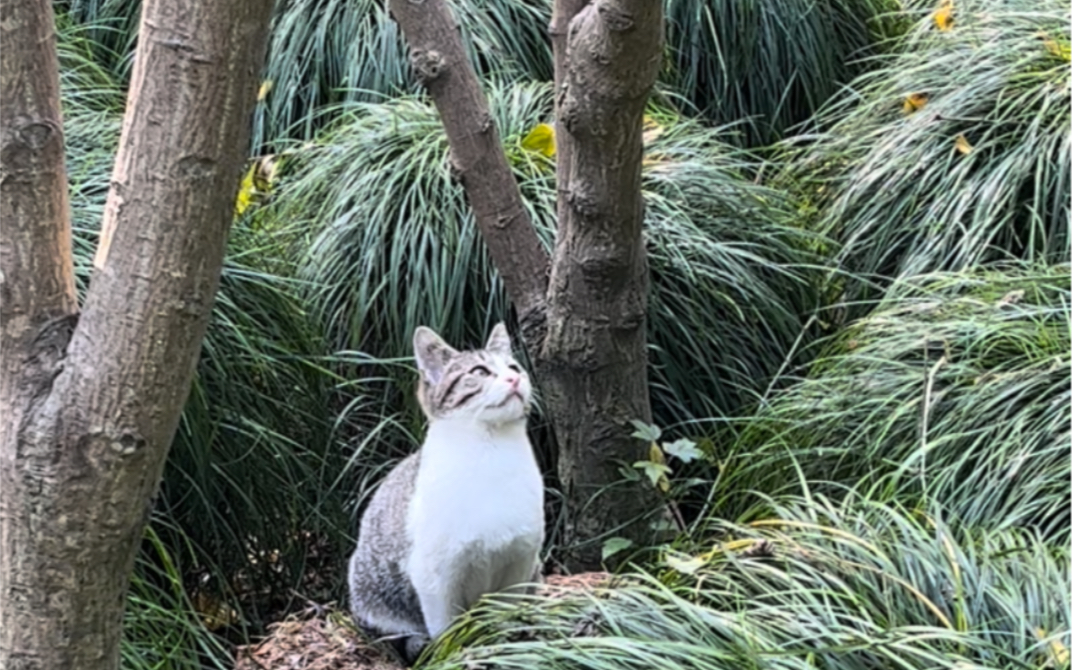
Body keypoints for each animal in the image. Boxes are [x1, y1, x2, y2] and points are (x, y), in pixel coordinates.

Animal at [349, 323, 540, 660]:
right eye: (480, 371)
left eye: (514, 367)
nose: (514, 379)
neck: (491, 451)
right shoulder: (436, 576)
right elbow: (446, 628)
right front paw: (452, 653)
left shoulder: (520, 561)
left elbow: (503, 614)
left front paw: (505, 642)